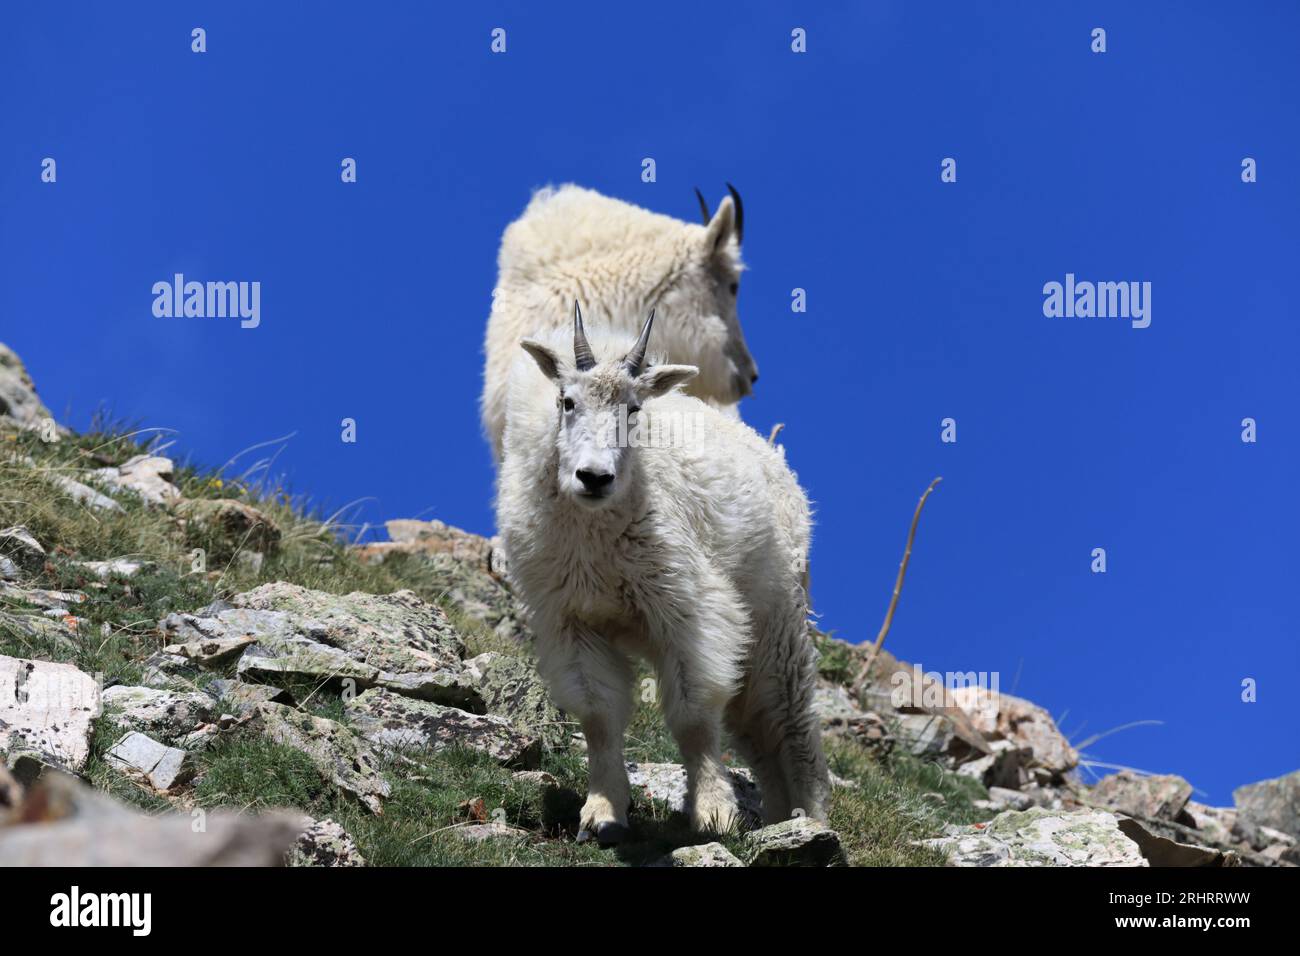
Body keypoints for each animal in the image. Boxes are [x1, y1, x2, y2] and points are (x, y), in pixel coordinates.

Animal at [496, 303, 832, 842]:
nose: (594, 478)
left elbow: (694, 716)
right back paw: (781, 816)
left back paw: (810, 819)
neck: (597, 533)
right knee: (757, 726)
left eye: (633, 410)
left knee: (790, 718)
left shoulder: (687, 609)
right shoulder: (573, 620)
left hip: (777, 619)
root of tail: (775, 457)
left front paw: (714, 812)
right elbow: (599, 715)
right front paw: (603, 812)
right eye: (566, 402)